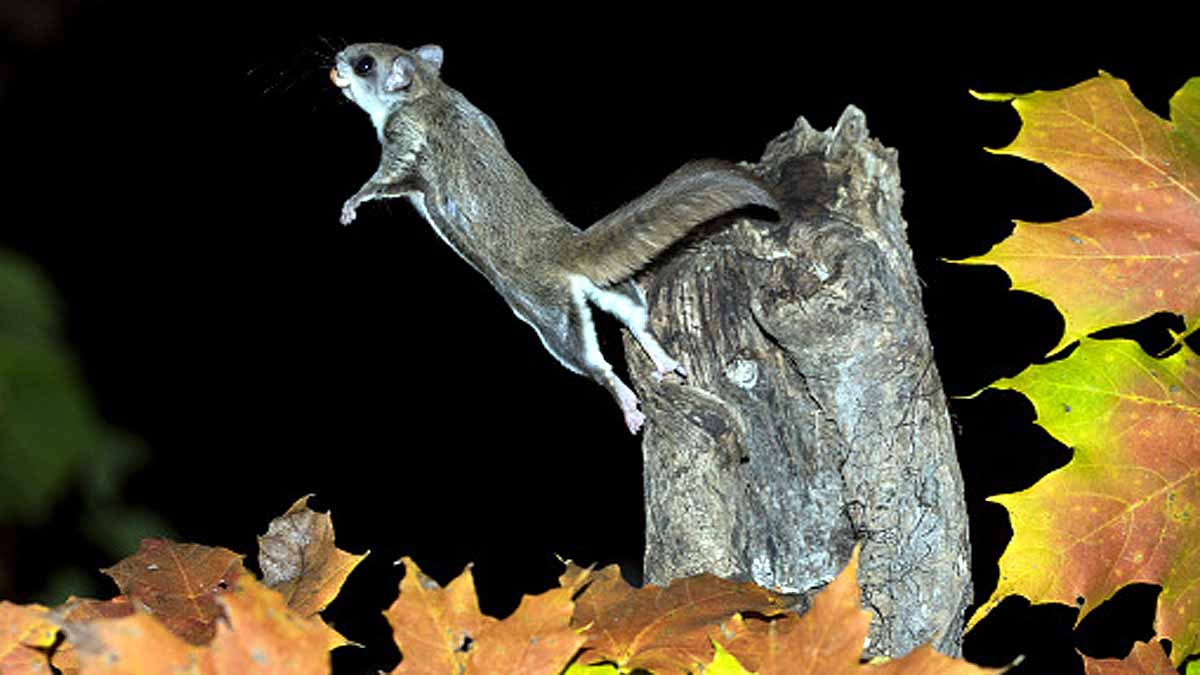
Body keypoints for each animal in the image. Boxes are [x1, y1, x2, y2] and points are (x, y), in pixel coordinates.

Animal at [331, 43, 777, 433]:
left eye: (365, 63)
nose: (336, 58)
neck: (427, 89)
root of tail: (564, 248)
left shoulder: (402, 142)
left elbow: (382, 181)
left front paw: (351, 205)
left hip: (551, 317)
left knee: (595, 365)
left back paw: (628, 405)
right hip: (611, 288)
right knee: (639, 320)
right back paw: (664, 364)